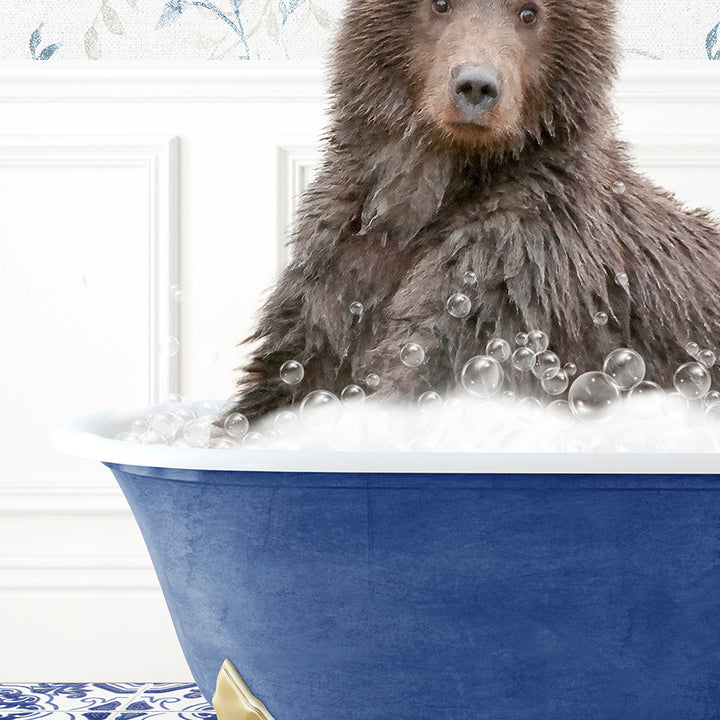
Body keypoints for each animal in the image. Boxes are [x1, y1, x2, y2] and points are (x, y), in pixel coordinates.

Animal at [222, 0, 720, 422]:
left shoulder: (511, 276)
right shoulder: (338, 273)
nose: (476, 86)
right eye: (441, 3)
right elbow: (286, 377)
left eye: (529, 12)